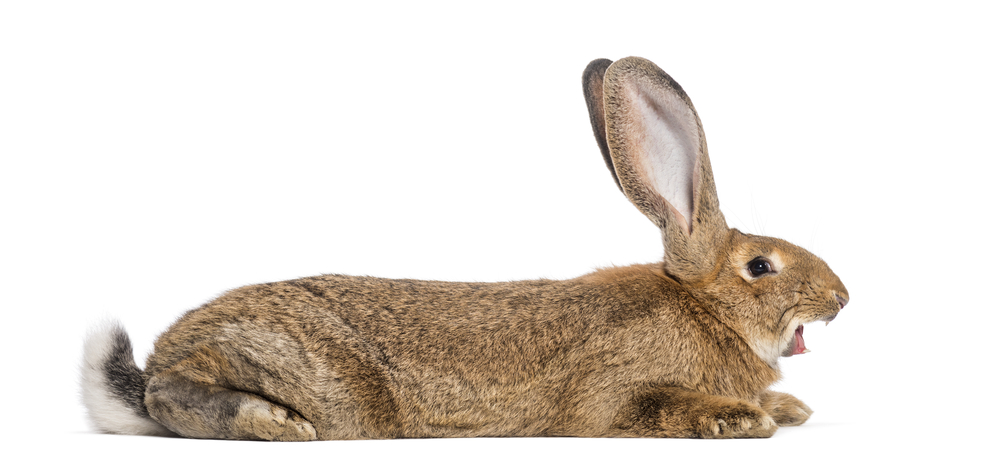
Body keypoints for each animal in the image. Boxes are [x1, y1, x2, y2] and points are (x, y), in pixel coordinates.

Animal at [84, 57, 852, 440]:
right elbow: (652, 407)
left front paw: (790, 411)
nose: (842, 298)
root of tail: (166, 349)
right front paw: (742, 420)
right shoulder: (613, 392)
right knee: (170, 398)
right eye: (760, 267)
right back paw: (270, 422)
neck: (703, 311)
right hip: (318, 381)